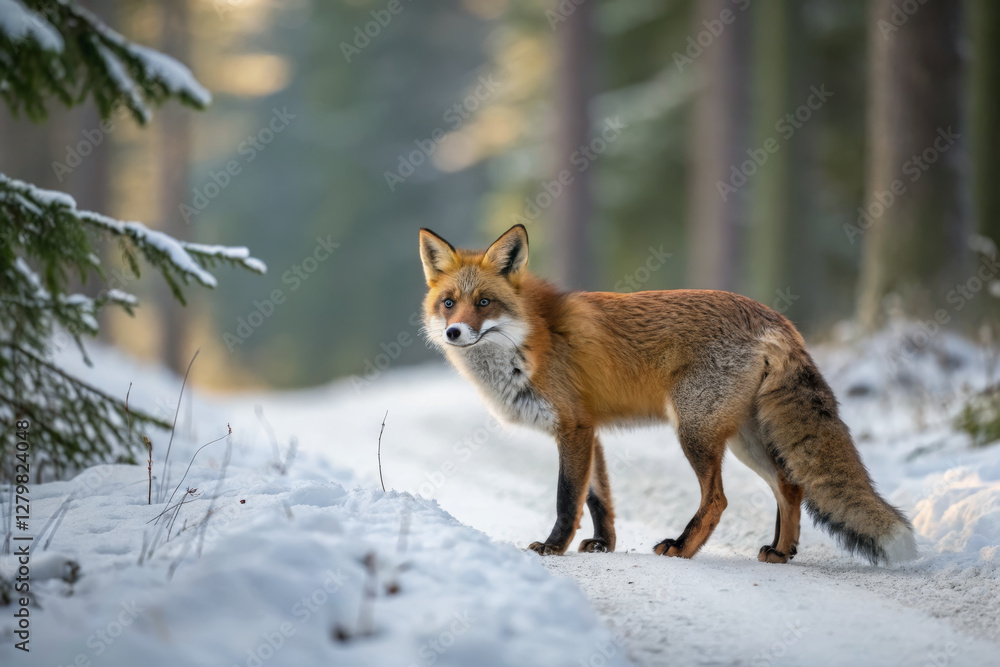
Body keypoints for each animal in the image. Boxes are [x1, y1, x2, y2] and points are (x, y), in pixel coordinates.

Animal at [418, 224, 918, 565]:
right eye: (448, 303)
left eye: (484, 303)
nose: (454, 332)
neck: (530, 342)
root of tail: (774, 317)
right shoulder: (590, 430)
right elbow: (599, 498)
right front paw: (603, 545)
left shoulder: (573, 427)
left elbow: (567, 498)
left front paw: (554, 547)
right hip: (744, 440)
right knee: (790, 486)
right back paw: (780, 551)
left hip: (694, 431)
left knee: (718, 499)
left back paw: (682, 546)